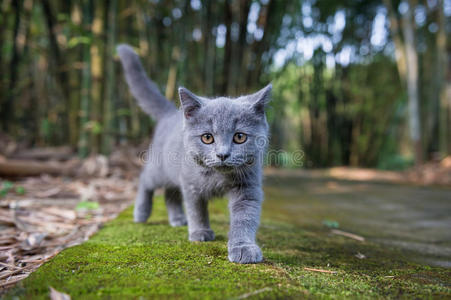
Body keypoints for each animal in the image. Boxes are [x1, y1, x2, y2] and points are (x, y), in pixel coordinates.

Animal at [117, 44, 272, 262]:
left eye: (240, 137)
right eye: (207, 138)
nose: (222, 154)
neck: (218, 176)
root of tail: (171, 113)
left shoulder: (248, 187)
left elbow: (245, 218)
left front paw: (243, 247)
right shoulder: (191, 183)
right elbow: (196, 209)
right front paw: (200, 232)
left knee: (170, 193)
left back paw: (177, 219)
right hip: (161, 168)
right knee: (145, 180)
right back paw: (141, 212)